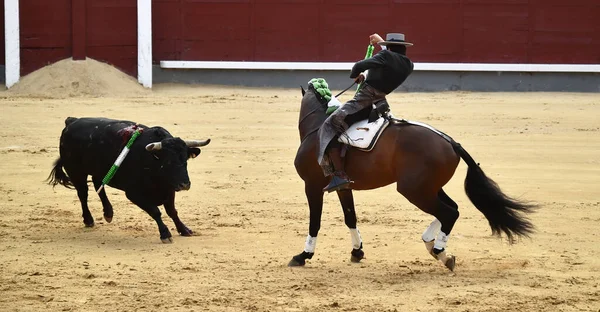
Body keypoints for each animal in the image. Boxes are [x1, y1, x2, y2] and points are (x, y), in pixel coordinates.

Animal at [47, 117, 211, 244]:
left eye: (185, 160)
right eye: (169, 161)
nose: (185, 184)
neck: (152, 162)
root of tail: (71, 121)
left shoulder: (169, 189)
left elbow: (172, 211)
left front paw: (184, 229)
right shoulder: (134, 194)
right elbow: (156, 211)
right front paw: (165, 234)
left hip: (99, 169)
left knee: (98, 184)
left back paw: (108, 213)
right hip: (76, 172)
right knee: (83, 194)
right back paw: (89, 220)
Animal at [288, 84, 536, 270]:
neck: (317, 129)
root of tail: (451, 143)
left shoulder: (312, 185)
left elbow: (315, 221)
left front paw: (303, 255)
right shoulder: (343, 186)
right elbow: (351, 217)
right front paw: (357, 251)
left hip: (413, 190)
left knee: (449, 212)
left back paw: (440, 252)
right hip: (429, 188)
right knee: (452, 208)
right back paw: (431, 244)